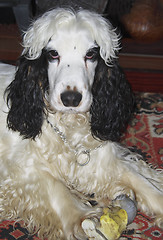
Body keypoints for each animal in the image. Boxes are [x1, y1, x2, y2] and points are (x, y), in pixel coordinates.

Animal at [0, 7, 162, 240]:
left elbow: (138, 179)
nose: (70, 99)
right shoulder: (20, 169)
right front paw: (80, 217)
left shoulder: (101, 161)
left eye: (91, 54)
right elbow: (54, 185)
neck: (68, 126)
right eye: (53, 54)